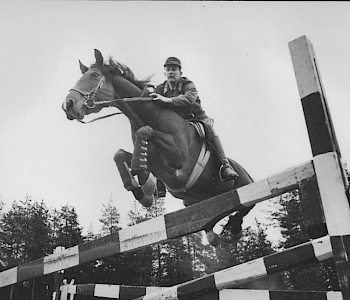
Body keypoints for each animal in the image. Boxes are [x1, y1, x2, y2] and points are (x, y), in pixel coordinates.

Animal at [62, 49, 254, 246]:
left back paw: (234, 230)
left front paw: (144, 179)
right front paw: (142, 189)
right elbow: (120, 154)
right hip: (194, 202)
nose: (68, 104)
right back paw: (215, 235)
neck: (150, 115)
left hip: (244, 185)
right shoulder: (156, 164)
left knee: (244, 208)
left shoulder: (178, 159)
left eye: (94, 75)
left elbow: (145, 132)